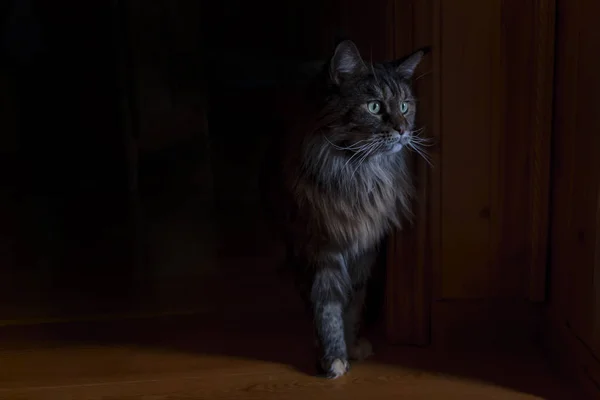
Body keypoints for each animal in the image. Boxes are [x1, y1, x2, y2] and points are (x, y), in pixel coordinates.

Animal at [262, 39, 426, 378]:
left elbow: (353, 302)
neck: (356, 173)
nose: (403, 130)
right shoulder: (318, 246)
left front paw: (352, 345)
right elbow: (327, 304)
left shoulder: (364, 248)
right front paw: (333, 356)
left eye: (405, 106)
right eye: (374, 107)